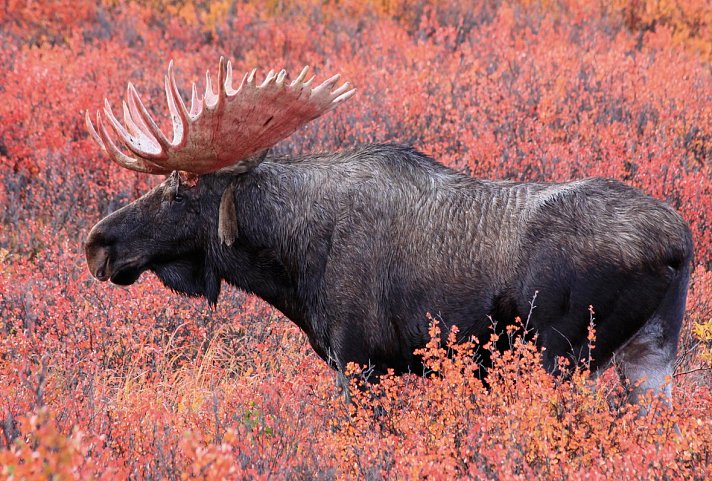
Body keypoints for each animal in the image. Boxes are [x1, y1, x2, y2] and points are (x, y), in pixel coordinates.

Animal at [83, 57, 688, 408]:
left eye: (179, 191)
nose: (98, 245)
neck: (292, 265)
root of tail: (678, 245)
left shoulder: (360, 361)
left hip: (560, 355)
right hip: (651, 358)